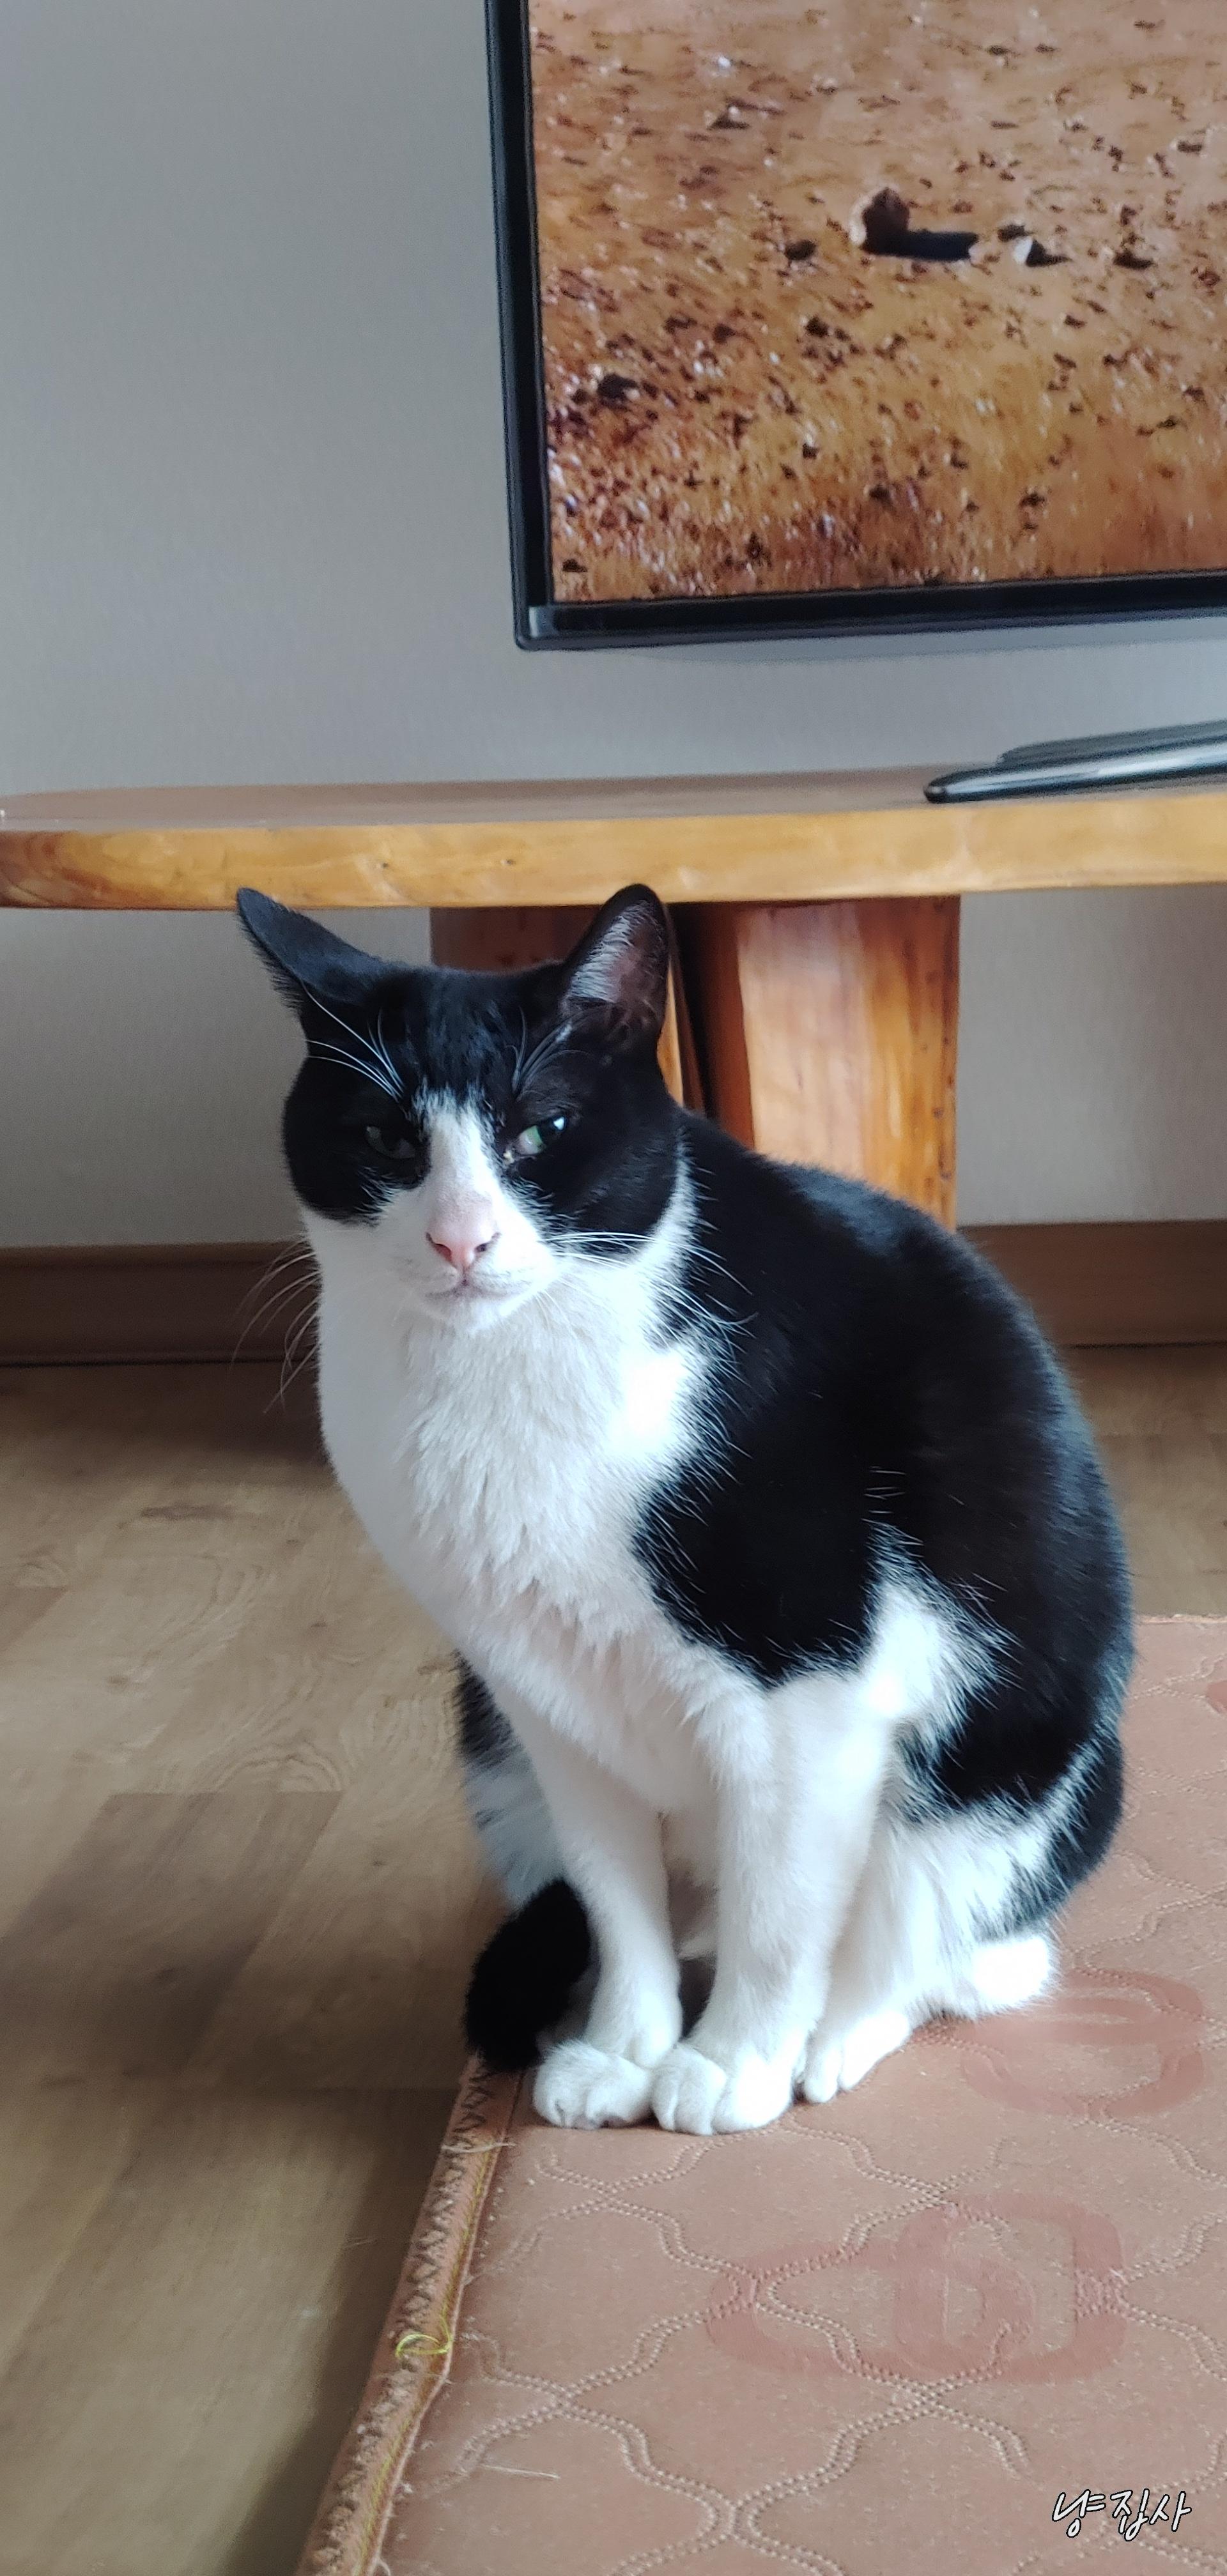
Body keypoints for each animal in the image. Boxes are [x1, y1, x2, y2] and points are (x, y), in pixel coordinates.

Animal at [239, 880, 1131, 2136]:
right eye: (387, 1139)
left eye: (542, 1132)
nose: (461, 1238)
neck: (502, 1375)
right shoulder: (541, 1698)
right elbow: (616, 1899)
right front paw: (627, 2048)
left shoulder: (806, 1697)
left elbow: (781, 1910)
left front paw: (730, 2064)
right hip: (488, 1745)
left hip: (1004, 1782)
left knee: (951, 1954)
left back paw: (831, 2040)